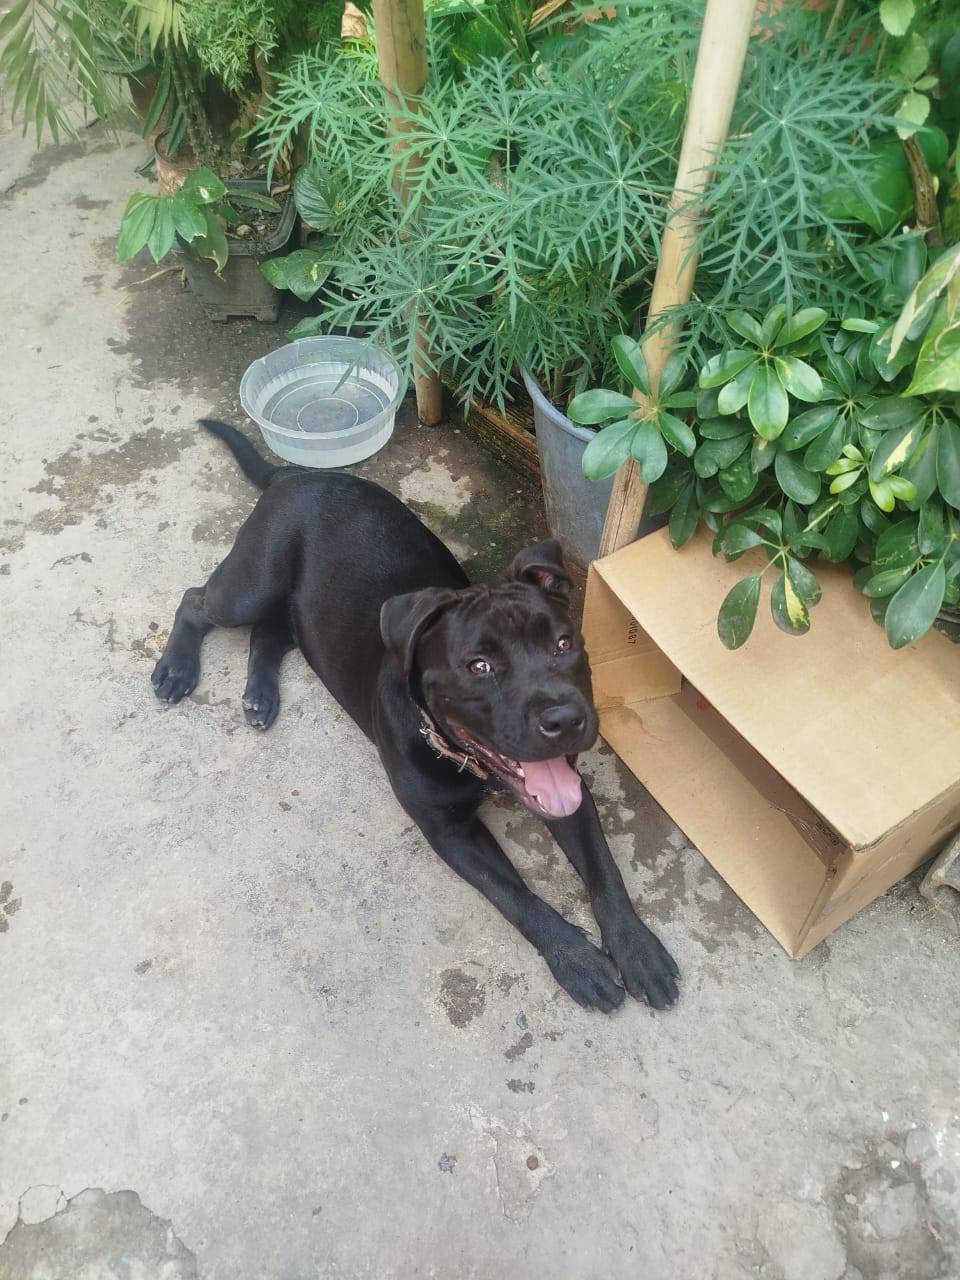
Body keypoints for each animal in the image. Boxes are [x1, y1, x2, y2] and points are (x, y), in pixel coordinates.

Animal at [151, 420, 680, 1013]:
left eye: (565, 643)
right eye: (479, 666)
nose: (567, 720)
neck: (465, 760)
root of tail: (298, 474)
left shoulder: (568, 791)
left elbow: (604, 871)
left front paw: (635, 946)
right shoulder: (448, 832)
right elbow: (516, 895)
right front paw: (577, 959)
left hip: (298, 611)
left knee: (271, 632)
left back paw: (260, 696)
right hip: (251, 583)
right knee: (196, 599)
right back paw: (175, 668)